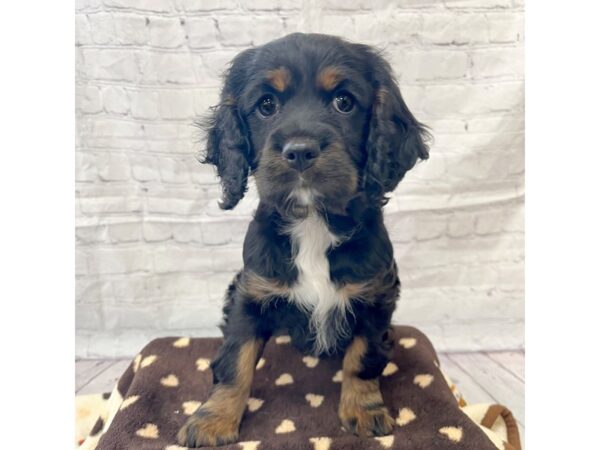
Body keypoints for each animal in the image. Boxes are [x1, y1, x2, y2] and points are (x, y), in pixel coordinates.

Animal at [176, 32, 428, 446]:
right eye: (266, 105)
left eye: (344, 102)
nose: (299, 151)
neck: (313, 223)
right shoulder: (251, 295)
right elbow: (235, 361)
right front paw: (212, 420)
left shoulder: (375, 298)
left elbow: (363, 358)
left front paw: (364, 410)